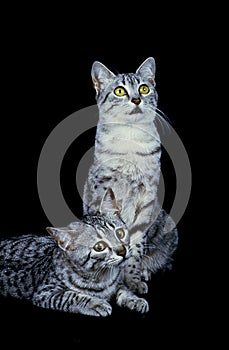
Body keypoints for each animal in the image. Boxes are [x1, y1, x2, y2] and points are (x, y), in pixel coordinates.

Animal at [0, 189, 148, 318]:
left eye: (120, 233)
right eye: (99, 247)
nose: (122, 251)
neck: (102, 277)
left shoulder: (117, 282)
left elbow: (123, 289)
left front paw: (135, 299)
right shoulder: (45, 292)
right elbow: (71, 296)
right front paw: (96, 303)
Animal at [83, 56, 178, 300]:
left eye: (144, 88)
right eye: (119, 90)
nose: (136, 99)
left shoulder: (146, 199)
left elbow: (135, 248)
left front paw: (132, 279)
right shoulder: (100, 189)